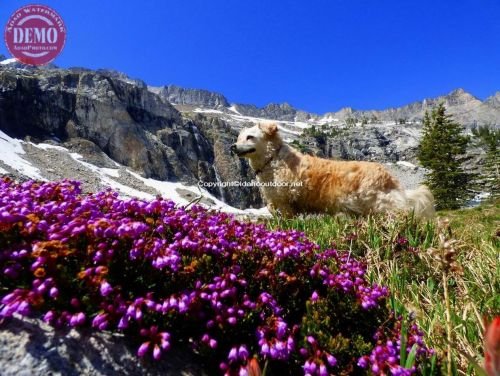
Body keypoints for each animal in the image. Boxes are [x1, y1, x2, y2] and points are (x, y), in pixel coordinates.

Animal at [230, 122, 434, 219]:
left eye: (250, 137)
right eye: (239, 137)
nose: (232, 147)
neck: (272, 159)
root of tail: (389, 176)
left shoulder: (284, 202)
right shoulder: (275, 202)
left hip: (380, 204)